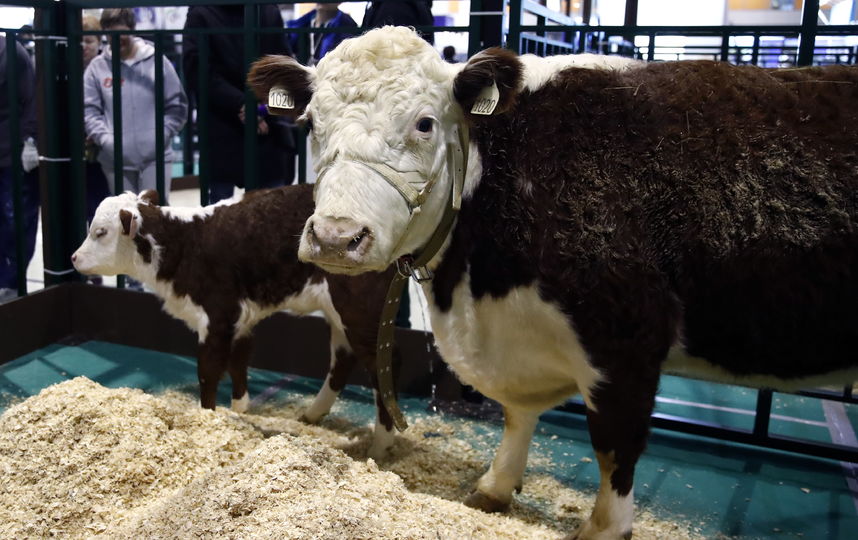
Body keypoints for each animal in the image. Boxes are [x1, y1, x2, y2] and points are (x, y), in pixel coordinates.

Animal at [70, 187, 398, 460]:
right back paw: (312, 415)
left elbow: (209, 370)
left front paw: (208, 417)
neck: (186, 243)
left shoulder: (217, 316)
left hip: (361, 314)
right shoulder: (240, 320)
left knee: (381, 371)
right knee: (342, 361)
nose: (73, 258)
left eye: (100, 232)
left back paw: (380, 446)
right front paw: (240, 411)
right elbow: (238, 361)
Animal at [247, 28, 856, 540]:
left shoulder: (628, 341)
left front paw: (605, 530)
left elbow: (615, 444)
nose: (335, 237)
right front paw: (494, 487)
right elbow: (518, 416)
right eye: (311, 124)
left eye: (424, 123)